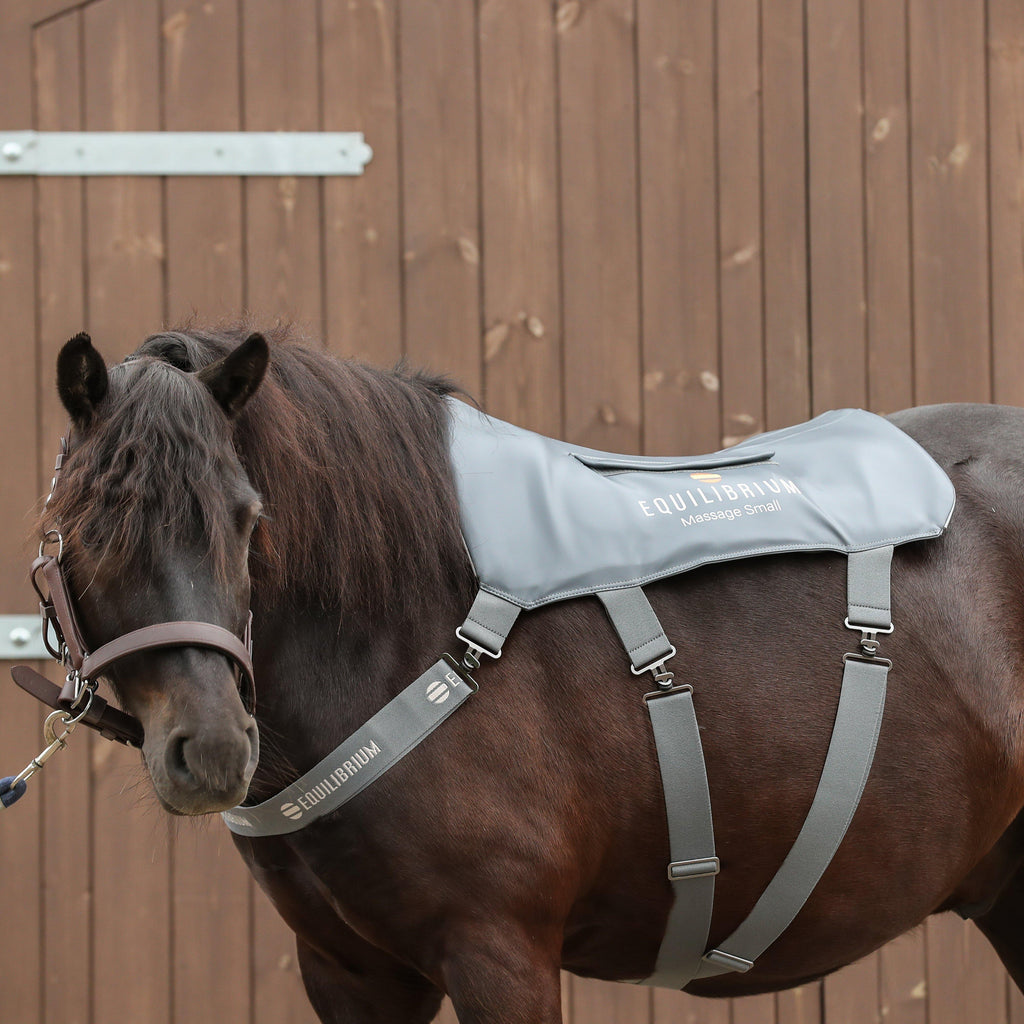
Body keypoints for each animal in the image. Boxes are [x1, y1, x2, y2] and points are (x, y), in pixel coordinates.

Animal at [35, 323, 1024, 1023]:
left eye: (247, 519)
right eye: (87, 526)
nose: (210, 750)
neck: (413, 621)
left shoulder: (499, 954)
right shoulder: (351, 973)